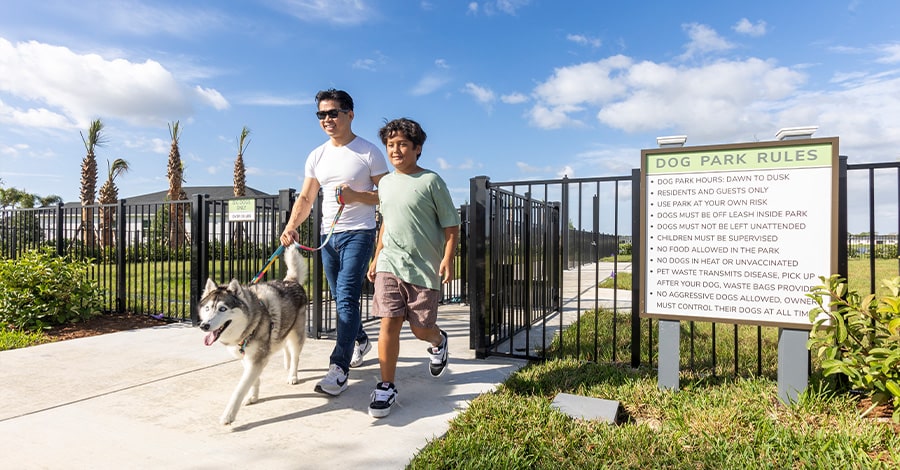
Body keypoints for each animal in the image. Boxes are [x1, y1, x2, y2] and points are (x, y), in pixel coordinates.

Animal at [197, 244, 310, 424]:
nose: (204, 325)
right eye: (207, 308)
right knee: (284, 345)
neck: (249, 327)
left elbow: (239, 388)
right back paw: (287, 363)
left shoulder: (256, 359)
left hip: (296, 335)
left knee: (295, 354)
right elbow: (253, 380)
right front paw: (253, 396)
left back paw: (293, 374)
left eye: (223, 309)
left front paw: (228, 415)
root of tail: (291, 281)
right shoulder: (247, 357)